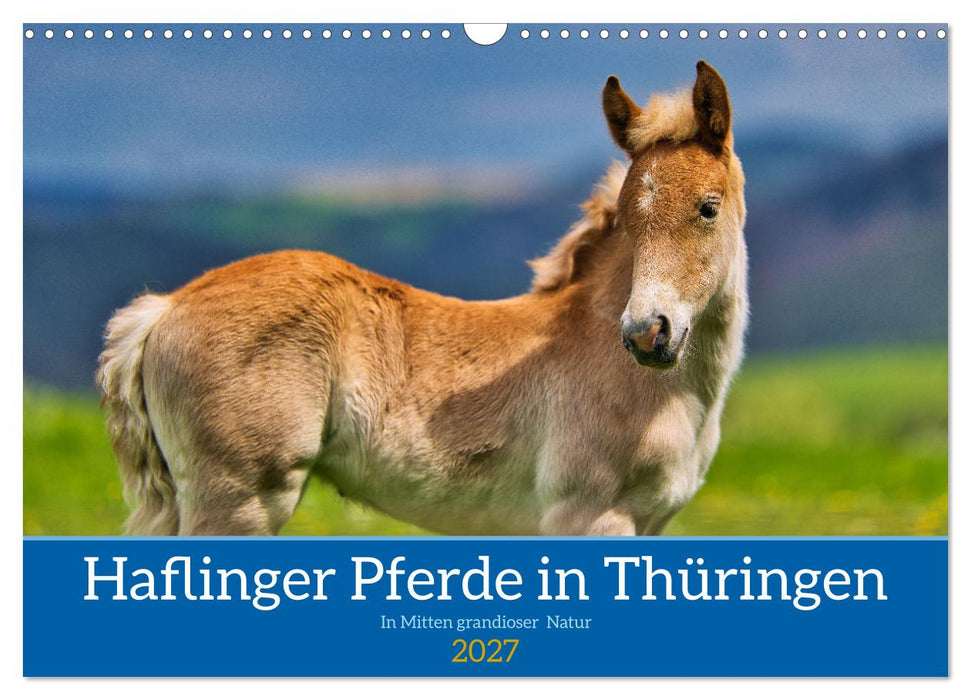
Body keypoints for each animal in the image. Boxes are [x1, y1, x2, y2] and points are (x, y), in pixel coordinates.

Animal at [97, 61, 748, 536]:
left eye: (707, 208)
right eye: (630, 221)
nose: (646, 333)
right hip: (240, 505)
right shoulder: (590, 519)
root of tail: (165, 308)